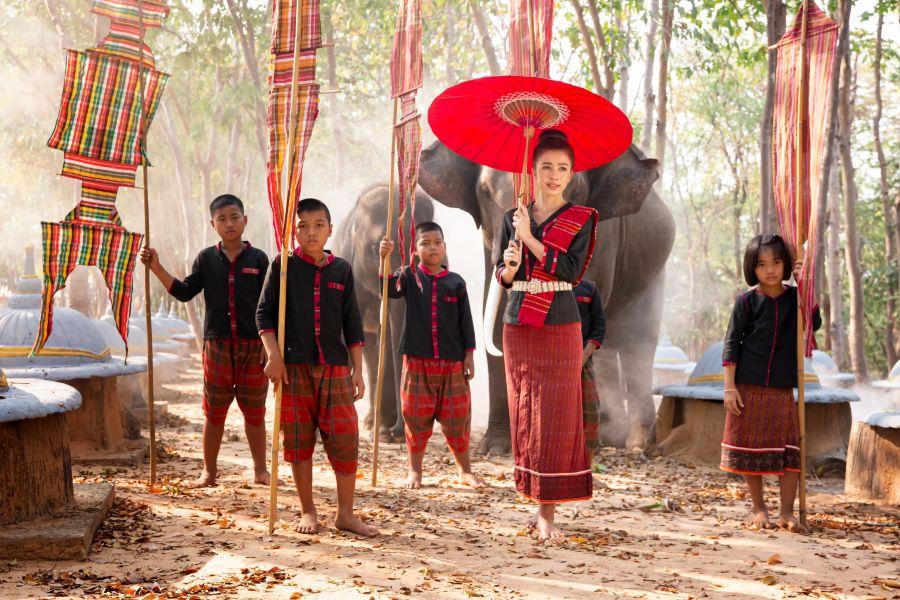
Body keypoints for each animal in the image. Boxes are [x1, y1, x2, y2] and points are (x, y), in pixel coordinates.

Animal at [418, 139, 672, 450]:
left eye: (572, 190)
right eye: (485, 193)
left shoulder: (603, 234)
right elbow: (496, 308)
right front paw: (497, 447)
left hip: (654, 272)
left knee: (638, 341)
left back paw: (634, 444)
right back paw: (611, 436)